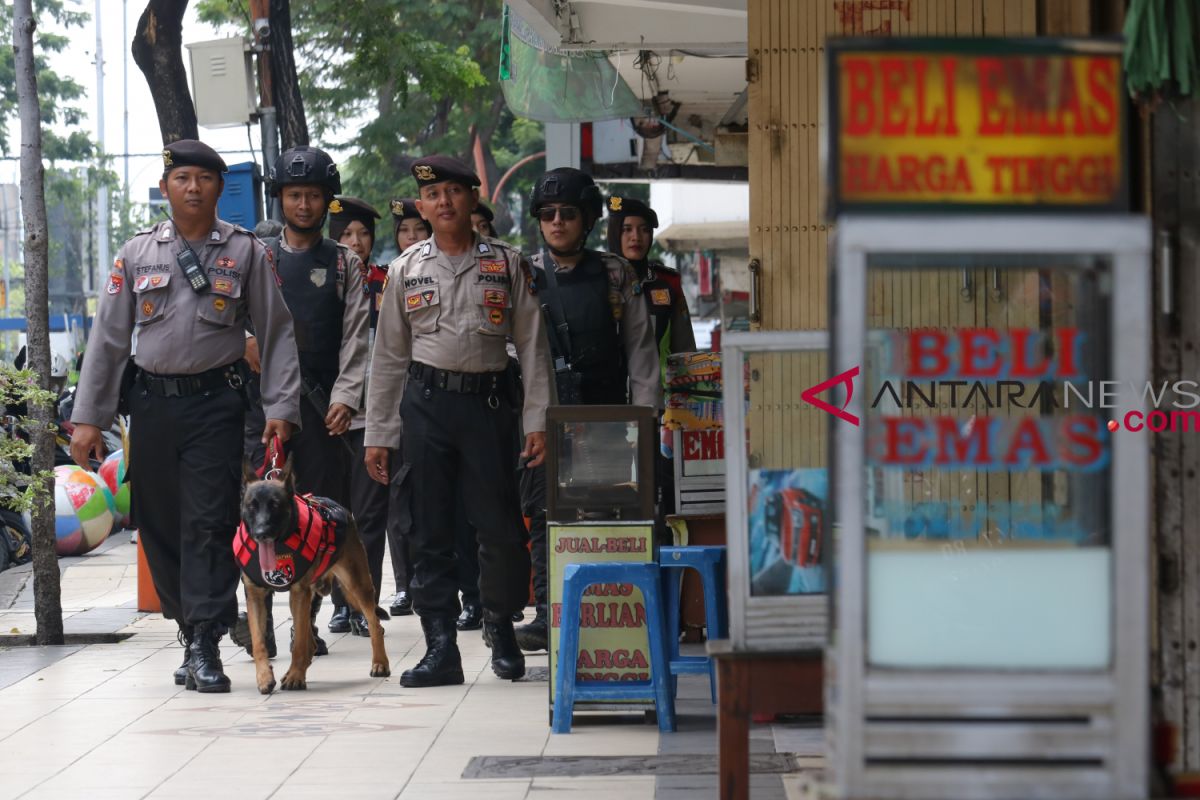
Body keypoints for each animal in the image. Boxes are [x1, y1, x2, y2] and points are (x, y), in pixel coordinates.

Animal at [231, 455, 386, 695]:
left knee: (375, 624)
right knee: (310, 641)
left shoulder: (298, 592)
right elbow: (259, 642)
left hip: (357, 585)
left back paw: (380, 664)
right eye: (252, 506)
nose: (261, 533)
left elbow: (299, 644)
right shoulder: (255, 595)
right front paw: (264, 677)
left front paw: (296, 676)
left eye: (275, 505)